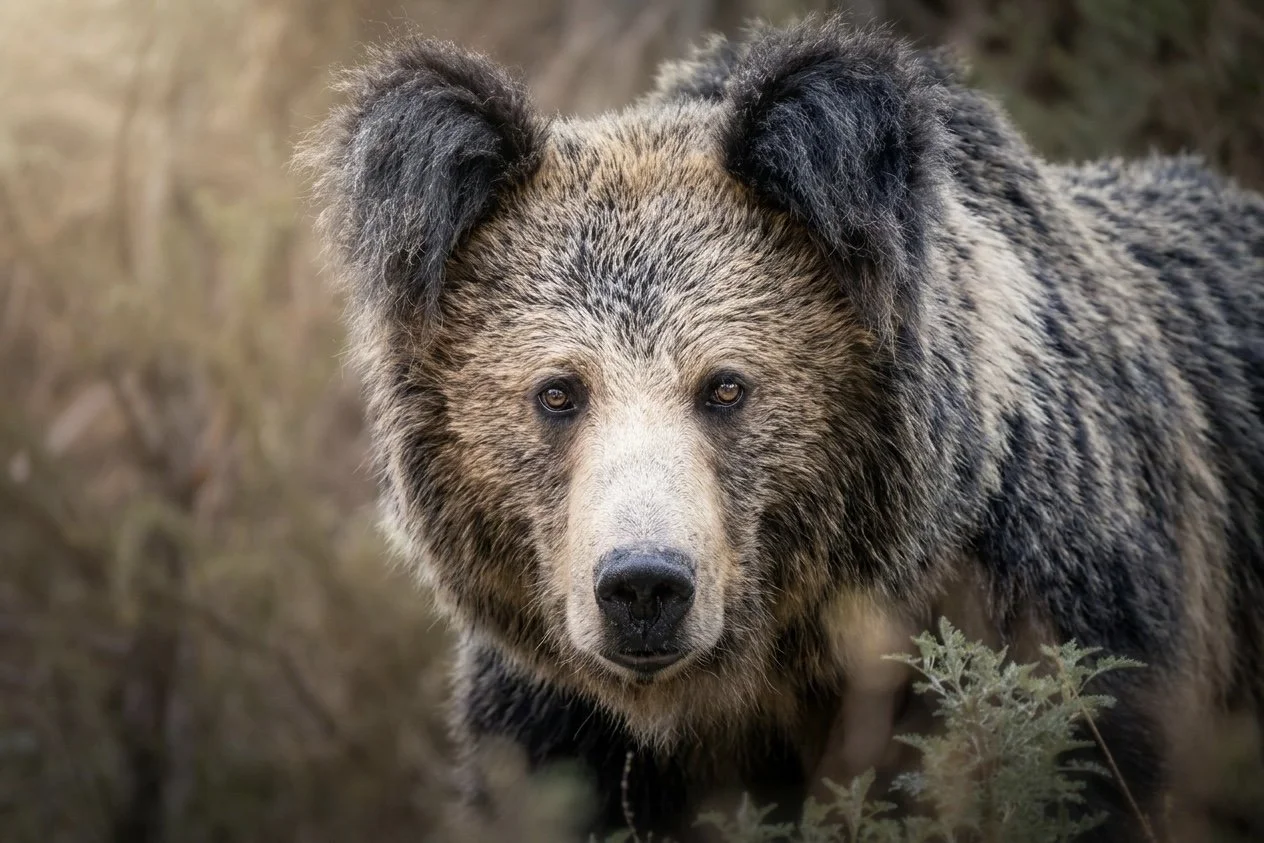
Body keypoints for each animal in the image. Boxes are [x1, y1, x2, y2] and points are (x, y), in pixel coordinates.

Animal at [300, 15, 1264, 843]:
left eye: (725, 386)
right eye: (560, 392)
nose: (643, 586)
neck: (768, 668)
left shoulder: (1058, 610)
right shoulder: (559, 723)